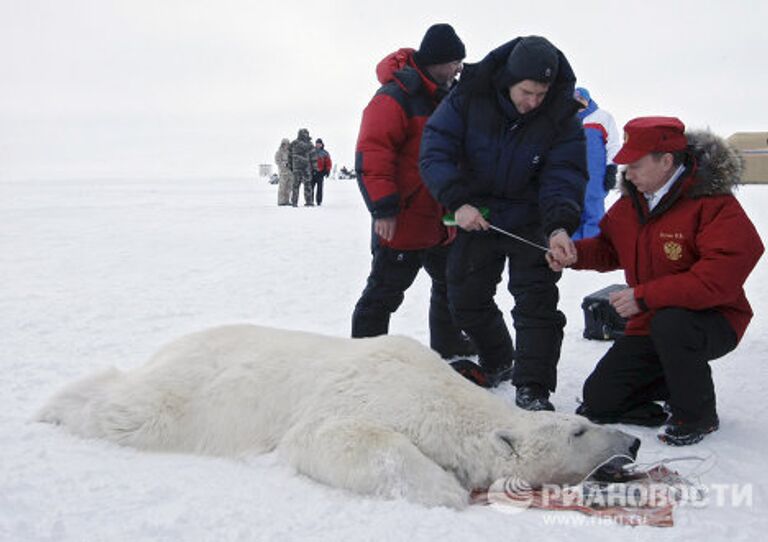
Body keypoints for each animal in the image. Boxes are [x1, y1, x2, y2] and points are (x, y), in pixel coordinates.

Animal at [36, 328, 640, 510]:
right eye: (579, 430)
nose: (633, 443)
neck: (448, 398)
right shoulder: (372, 395)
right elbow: (328, 438)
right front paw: (446, 490)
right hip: (194, 396)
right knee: (130, 411)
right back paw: (54, 406)